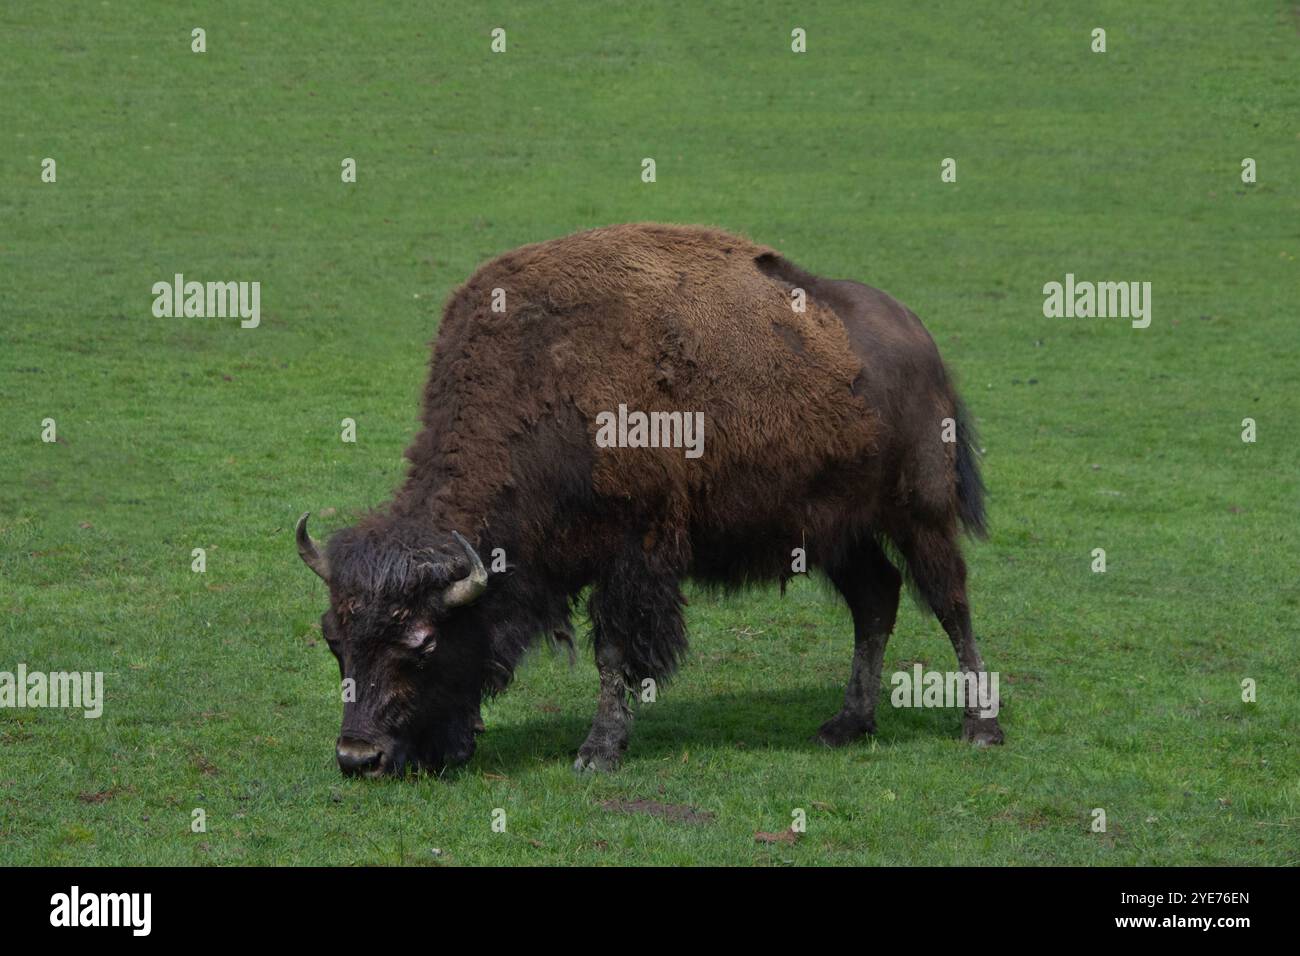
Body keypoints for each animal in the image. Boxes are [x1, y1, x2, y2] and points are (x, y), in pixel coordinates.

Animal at [297, 222, 1003, 780]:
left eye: (422, 642)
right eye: (334, 638)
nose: (358, 758)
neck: (541, 385)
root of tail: (921, 342)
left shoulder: (632, 554)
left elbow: (614, 652)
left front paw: (597, 752)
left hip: (919, 515)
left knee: (951, 600)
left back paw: (980, 727)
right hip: (836, 530)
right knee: (876, 599)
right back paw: (846, 725)